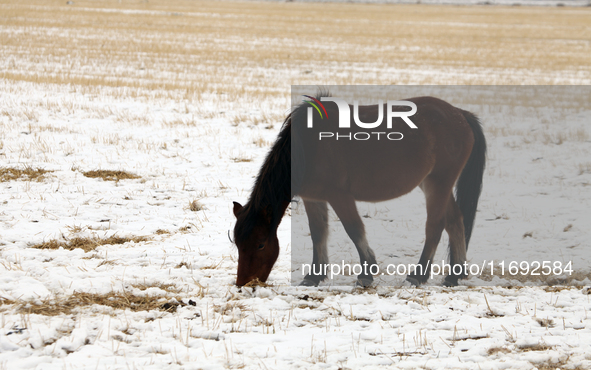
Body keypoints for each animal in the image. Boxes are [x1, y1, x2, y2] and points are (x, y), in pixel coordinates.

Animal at [231, 94, 486, 288]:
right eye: (237, 243)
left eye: (260, 244)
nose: (244, 283)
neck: (309, 146)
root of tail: (460, 115)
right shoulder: (313, 199)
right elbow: (318, 233)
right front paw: (314, 276)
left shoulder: (339, 196)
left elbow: (354, 229)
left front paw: (366, 273)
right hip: (432, 184)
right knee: (455, 221)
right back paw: (454, 275)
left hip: (438, 184)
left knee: (435, 226)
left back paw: (418, 275)